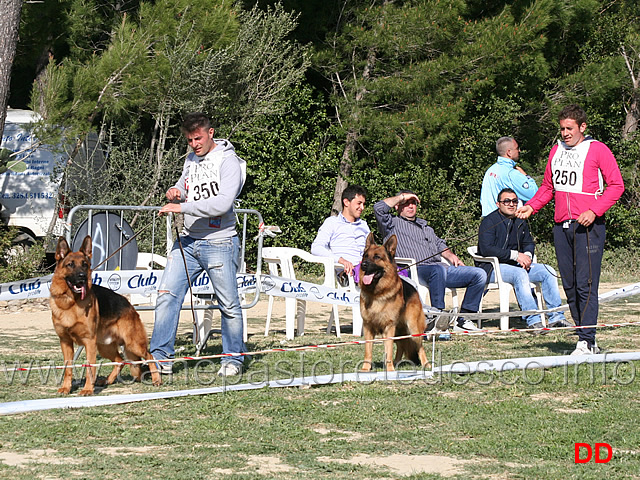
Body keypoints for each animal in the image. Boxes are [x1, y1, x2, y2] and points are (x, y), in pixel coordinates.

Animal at [50, 234, 162, 396]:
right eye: (70, 264)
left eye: (85, 264)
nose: (82, 277)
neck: (70, 303)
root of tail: (130, 306)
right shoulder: (65, 342)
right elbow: (68, 368)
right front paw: (66, 387)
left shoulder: (89, 342)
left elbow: (90, 367)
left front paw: (87, 389)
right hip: (104, 347)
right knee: (120, 360)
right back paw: (107, 380)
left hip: (133, 344)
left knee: (150, 356)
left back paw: (156, 379)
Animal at [358, 232, 428, 372]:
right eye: (365, 256)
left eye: (377, 257)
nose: (363, 265)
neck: (377, 293)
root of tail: (414, 289)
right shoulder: (368, 327)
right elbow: (368, 350)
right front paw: (366, 368)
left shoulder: (389, 327)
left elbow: (388, 349)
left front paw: (389, 370)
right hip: (399, 330)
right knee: (401, 345)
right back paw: (396, 362)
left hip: (413, 329)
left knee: (419, 347)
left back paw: (426, 364)